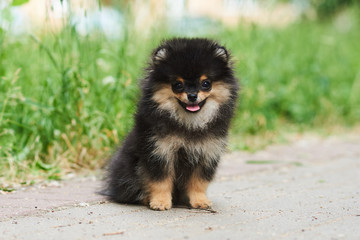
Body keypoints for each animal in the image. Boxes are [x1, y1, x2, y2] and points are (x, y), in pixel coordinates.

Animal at [101, 37, 238, 210]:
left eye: (206, 83)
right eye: (177, 84)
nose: (192, 95)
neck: (190, 123)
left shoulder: (208, 151)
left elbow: (199, 181)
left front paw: (200, 201)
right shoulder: (159, 150)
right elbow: (160, 181)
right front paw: (160, 202)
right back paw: (146, 198)